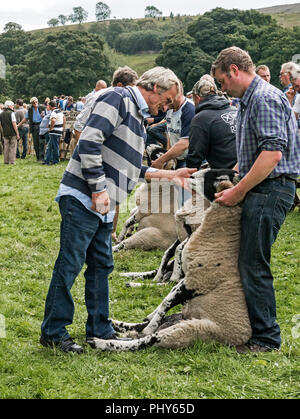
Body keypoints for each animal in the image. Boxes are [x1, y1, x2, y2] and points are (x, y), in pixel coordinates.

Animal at [88, 169, 252, 352]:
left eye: (218, 177)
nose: (191, 175)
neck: (225, 233)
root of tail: (239, 339)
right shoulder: (187, 276)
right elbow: (167, 293)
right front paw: (149, 317)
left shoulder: (195, 281)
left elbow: (167, 299)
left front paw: (151, 323)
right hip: (179, 317)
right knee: (140, 329)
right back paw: (119, 322)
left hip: (189, 330)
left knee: (145, 340)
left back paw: (101, 341)